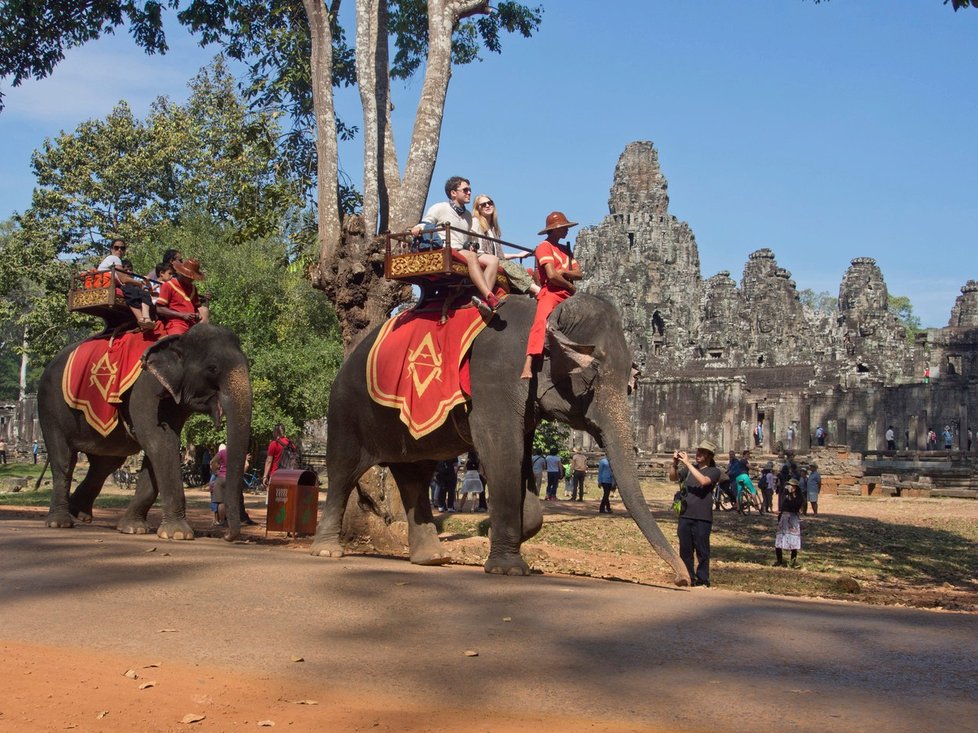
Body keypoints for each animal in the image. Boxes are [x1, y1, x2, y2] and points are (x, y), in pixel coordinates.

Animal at [37, 324, 252, 540]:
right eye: (212, 368)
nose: (226, 536)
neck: (179, 338)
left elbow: (157, 451)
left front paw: (133, 528)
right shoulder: (145, 388)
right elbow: (161, 443)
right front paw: (178, 534)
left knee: (105, 464)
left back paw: (79, 513)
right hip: (49, 406)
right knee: (64, 458)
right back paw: (60, 522)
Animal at [310, 292, 688, 584]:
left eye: (631, 380)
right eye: (592, 373)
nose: (682, 578)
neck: (544, 315)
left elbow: (522, 464)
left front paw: (498, 531)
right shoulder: (494, 380)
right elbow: (500, 452)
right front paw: (508, 568)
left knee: (415, 476)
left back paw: (432, 558)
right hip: (345, 407)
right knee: (343, 471)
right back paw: (327, 550)